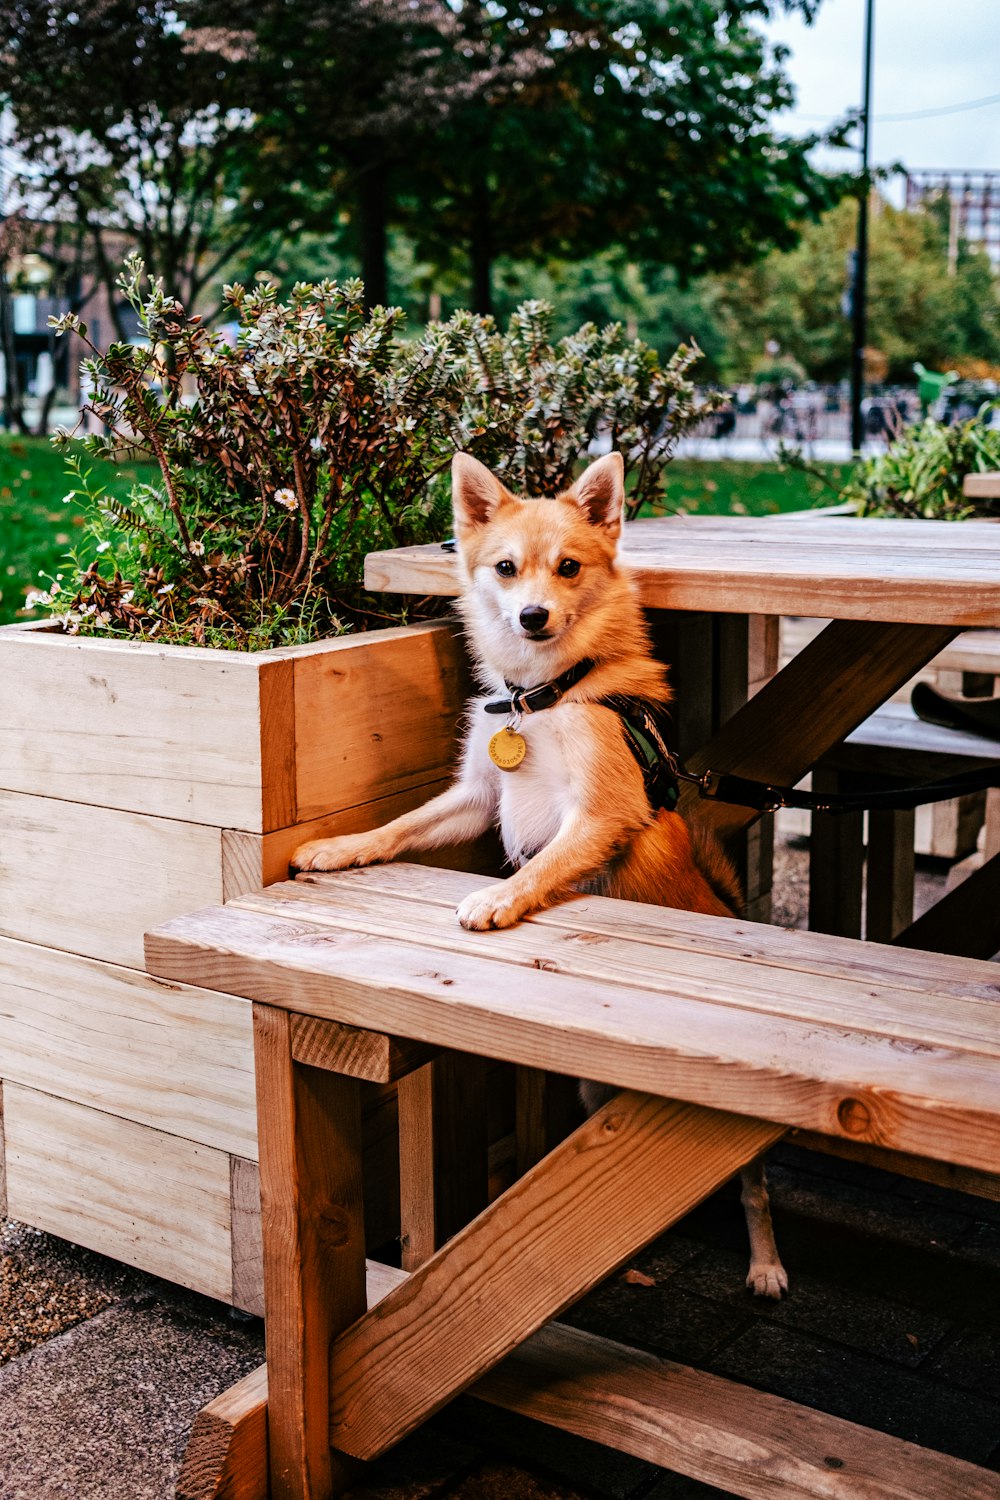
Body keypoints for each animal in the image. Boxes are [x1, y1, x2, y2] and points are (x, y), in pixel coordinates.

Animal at [293, 450, 785, 1296]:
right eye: (505, 568)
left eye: (569, 567)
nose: (532, 616)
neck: (542, 696)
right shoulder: (476, 797)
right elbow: (398, 827)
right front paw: (340, 848)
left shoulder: (598, 815)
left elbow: (544, 862)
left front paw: (498, 897)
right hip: (592, 1090)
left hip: (734, 1151)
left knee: (752, 1190)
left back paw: (765, 1263)